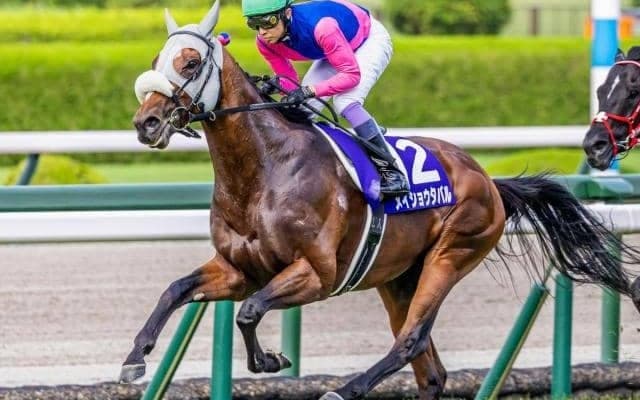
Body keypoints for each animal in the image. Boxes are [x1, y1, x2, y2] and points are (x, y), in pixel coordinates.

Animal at [122, 3, 640, 399]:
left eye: (190, 63)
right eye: (157, 57)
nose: (146, 123)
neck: (263, 170)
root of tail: (488, 180)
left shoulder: (317, 274)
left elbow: (249, 312)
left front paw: (269, 360)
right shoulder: (239, 269)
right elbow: (176, 290)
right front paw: (134, 358)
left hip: (452, 253)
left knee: (410, 342)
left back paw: (344, 389)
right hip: (397, 278)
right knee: (430, 372)